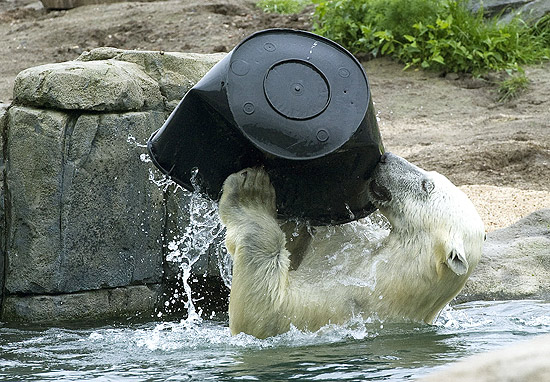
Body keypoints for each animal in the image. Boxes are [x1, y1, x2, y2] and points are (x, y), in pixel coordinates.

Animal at [218, 152, 486, 338]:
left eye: (426, 185)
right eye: (430, 174)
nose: (385, 158)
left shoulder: (344, 304)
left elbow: (263, 317)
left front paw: (250, 193)